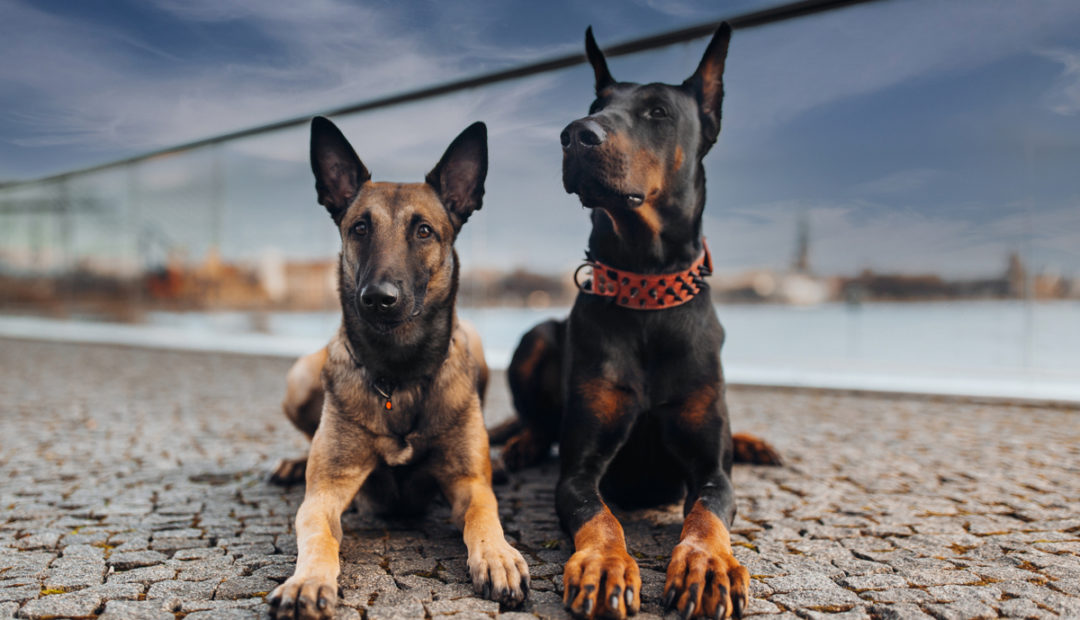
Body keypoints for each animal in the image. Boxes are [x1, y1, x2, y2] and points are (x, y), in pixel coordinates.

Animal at [272, 117, 529, 620]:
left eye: (424, 231)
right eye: (360, 228)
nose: (378, 298)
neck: (399, 373)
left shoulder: (469, 483)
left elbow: (483, 516)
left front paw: (498, 555)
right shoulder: (325, 493)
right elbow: (316, 534)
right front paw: (307, 580)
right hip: (299, 379)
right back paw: (293, 463)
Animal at [494, 21, 781, 617]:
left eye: (657, 112)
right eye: (596, 106)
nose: (575, 134)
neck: (646, 289)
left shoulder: (711, 471)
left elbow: (708, 511)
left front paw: (708, 564)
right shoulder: (579, 471)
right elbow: (600, 516)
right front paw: (604, 566)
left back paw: (752, 443)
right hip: (537, 335)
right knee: (537, 420)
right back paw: (522, 444)